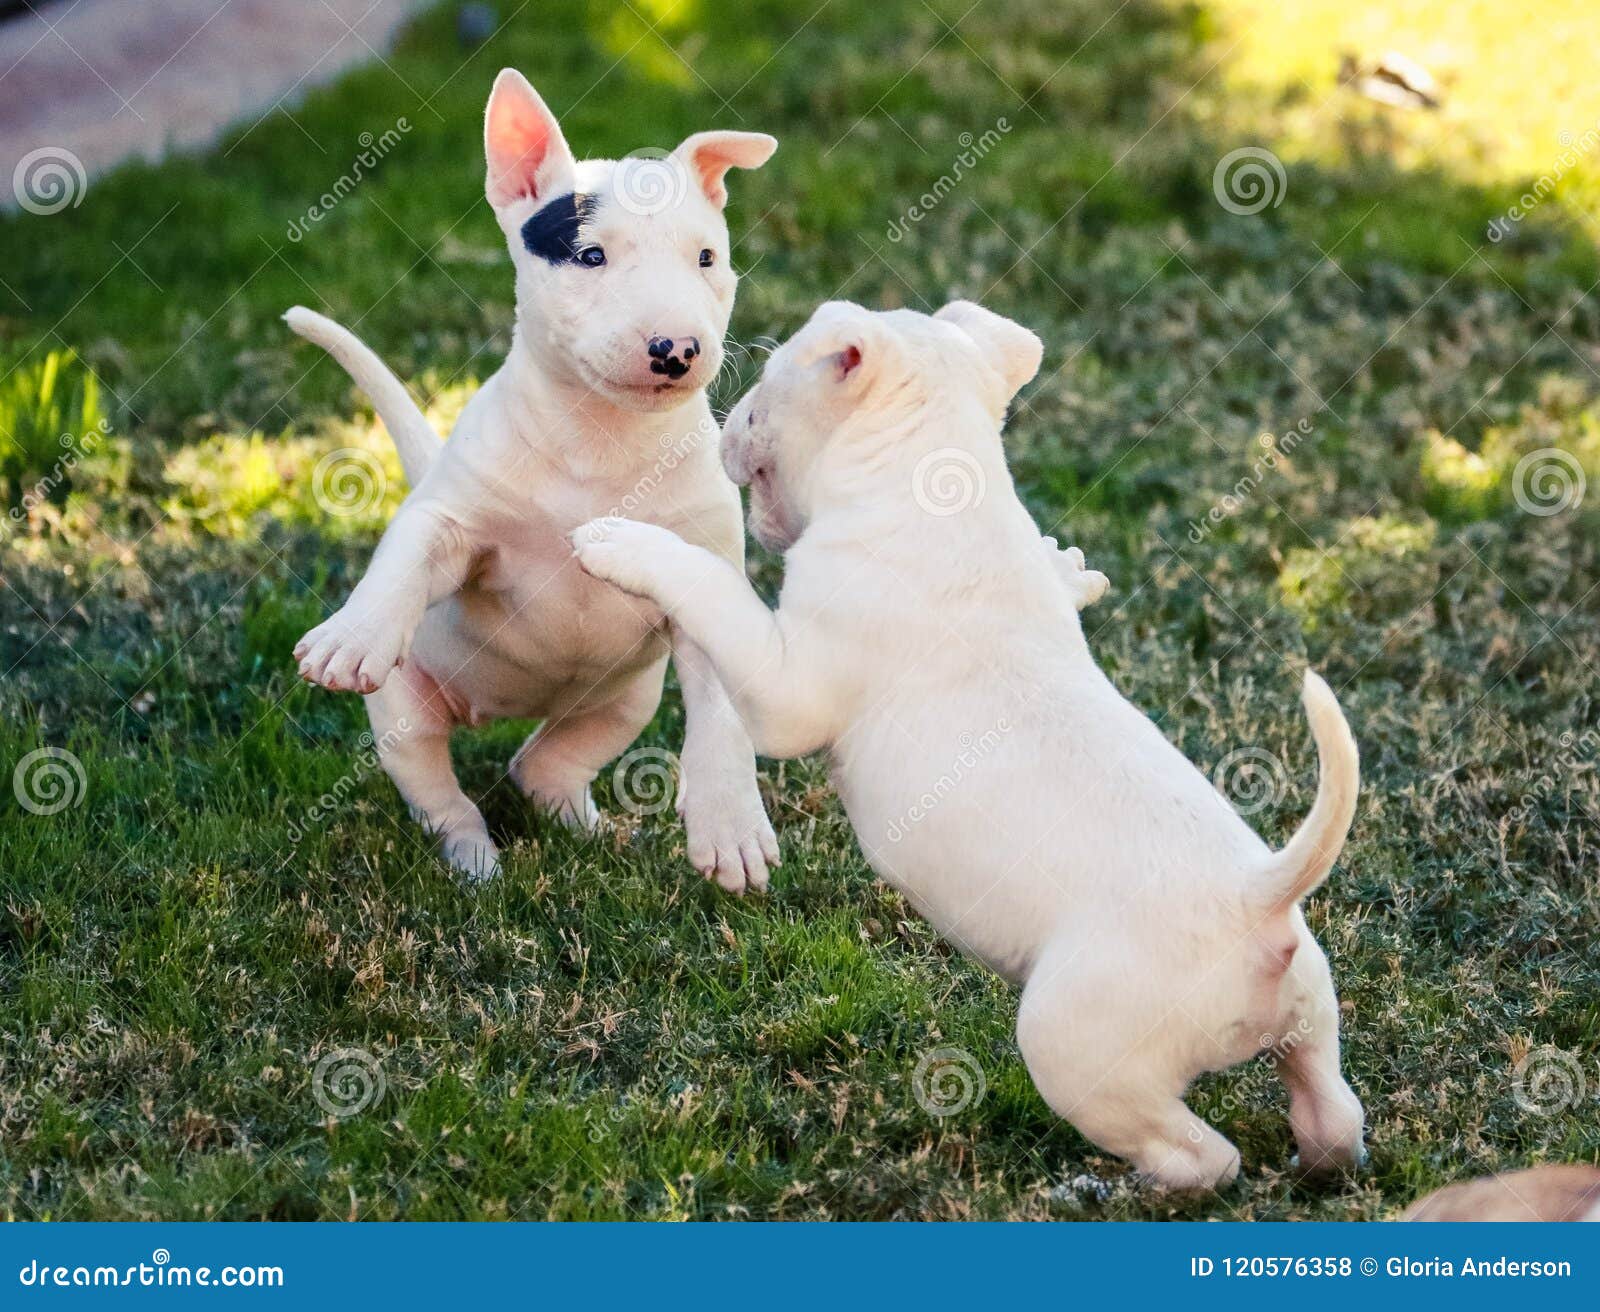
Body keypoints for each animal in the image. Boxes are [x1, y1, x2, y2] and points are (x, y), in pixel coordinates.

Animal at [289, 71, 787, 889]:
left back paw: (589, 828)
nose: (677, 349)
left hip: (624, 701)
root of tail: (498, 710)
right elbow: (411, 551)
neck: (602, 439)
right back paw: (474, 864)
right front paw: (352, 637)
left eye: (707, 258)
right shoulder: (456, 524)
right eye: (589, 256)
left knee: (542, 765)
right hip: (404, 715)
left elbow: (720, 709)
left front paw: (730, 824)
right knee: (442, 795)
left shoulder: (701, 569)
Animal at [572, 297, 1363, 1190]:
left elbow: (711, 589)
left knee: (1205, 1158)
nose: (724, 423)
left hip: (1076, 1048)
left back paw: (1100, 1187)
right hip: (1312, 1015)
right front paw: (1069, 569)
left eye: (768, 381)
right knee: (1332, 1115)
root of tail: (1254, 900)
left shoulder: (786, 687)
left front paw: (623, 543)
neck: (932, 480)